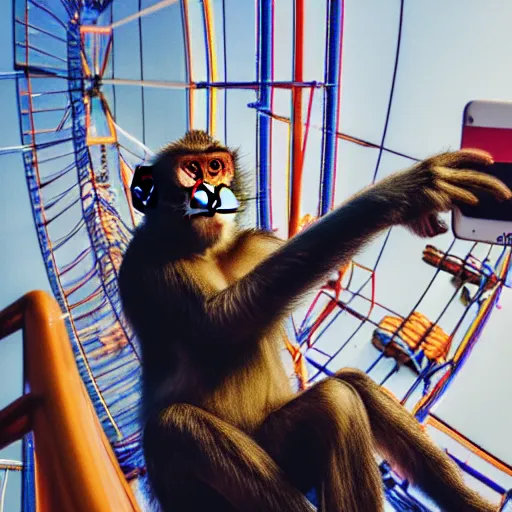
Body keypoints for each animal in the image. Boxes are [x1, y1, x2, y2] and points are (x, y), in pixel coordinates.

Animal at [118, 131, 510, 512]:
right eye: (191, 170)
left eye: (215, 167)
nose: (211, 192)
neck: (209, 251)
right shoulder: (145, 260)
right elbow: (220, 323)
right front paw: (403, 193)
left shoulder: (255, 245)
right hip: (200, 494)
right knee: (182, 425)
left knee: (352, 386)